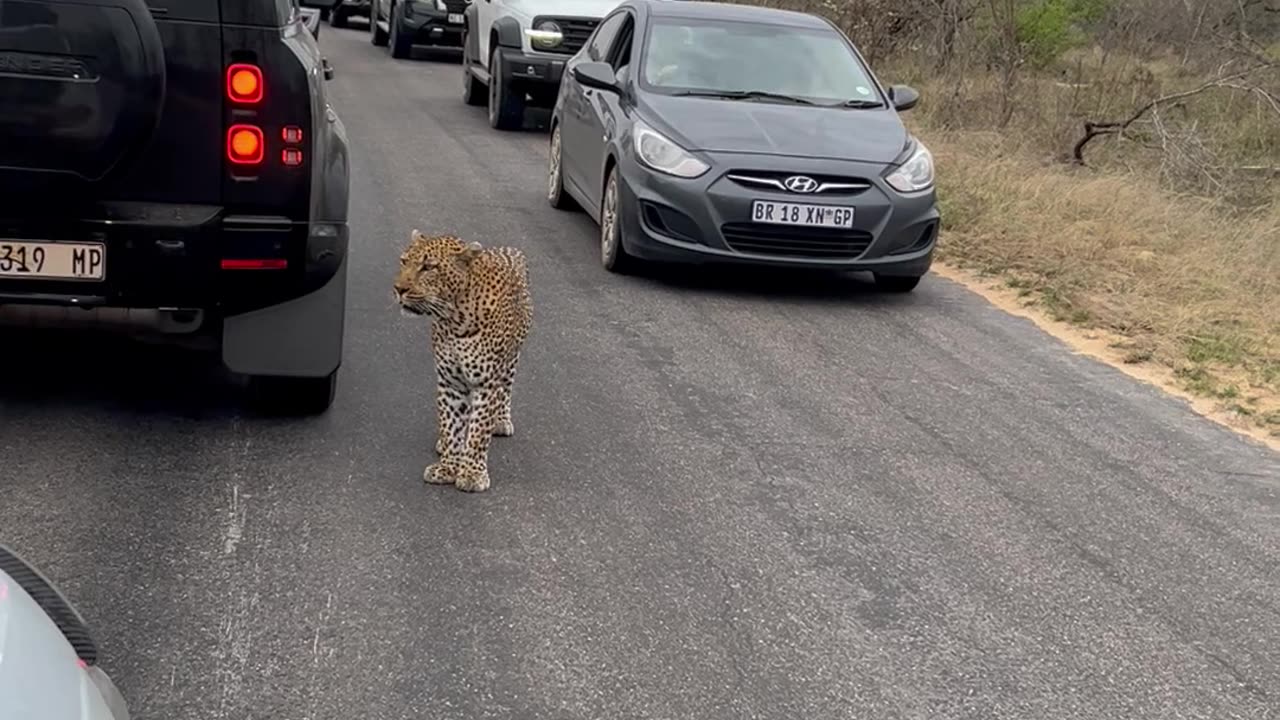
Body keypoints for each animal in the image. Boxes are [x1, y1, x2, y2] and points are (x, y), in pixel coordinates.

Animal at [393, 230, 533, 493]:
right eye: (404, 261)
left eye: (428, 267)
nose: (398, 289)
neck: (453, 320)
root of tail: (504, 247)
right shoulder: (450, 382)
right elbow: (451, 424)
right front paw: (448, 467)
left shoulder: (487, 383)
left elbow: (479, 431)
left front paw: (471, 474)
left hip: (511, 360)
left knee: (506, 389)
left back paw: (501, 421)